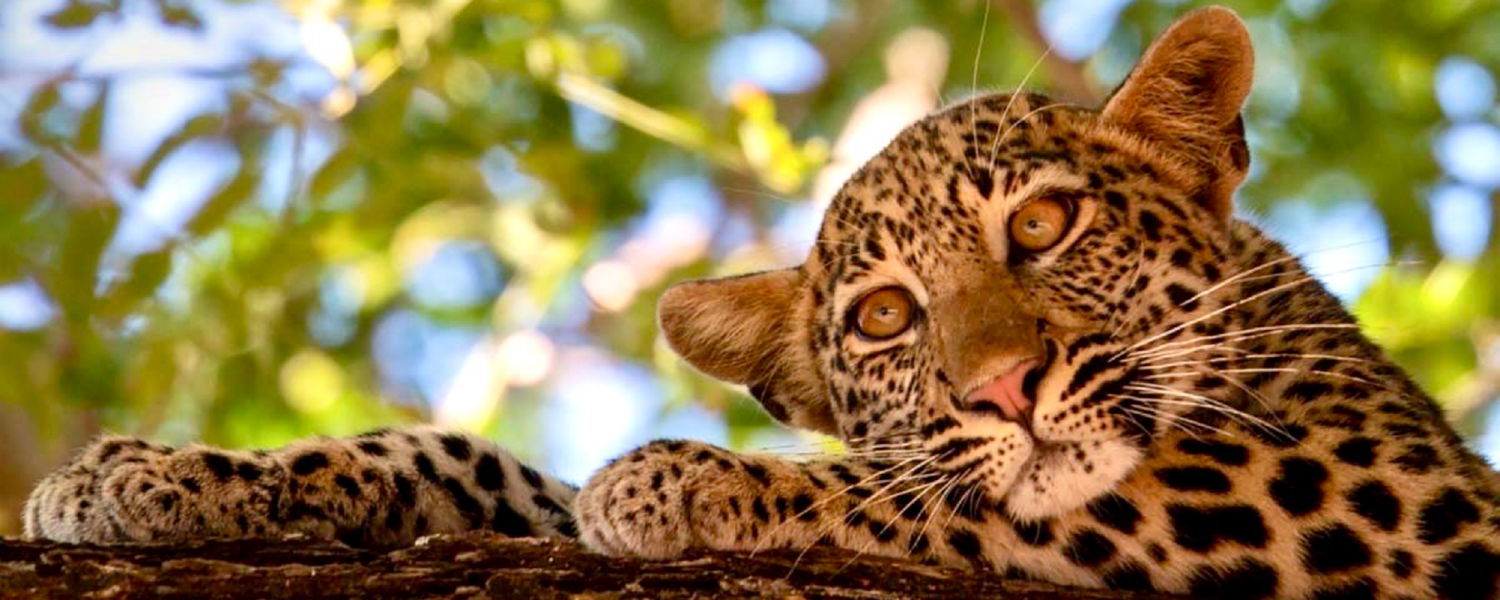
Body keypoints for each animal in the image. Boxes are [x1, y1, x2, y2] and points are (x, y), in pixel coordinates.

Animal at [20, 5, 1500, 600]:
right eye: (885, 320)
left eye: (1041, 224)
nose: (1005, 388)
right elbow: (478, 467)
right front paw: (154, 477)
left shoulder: (1393, 501)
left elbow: (942, 488)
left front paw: (682, 478)